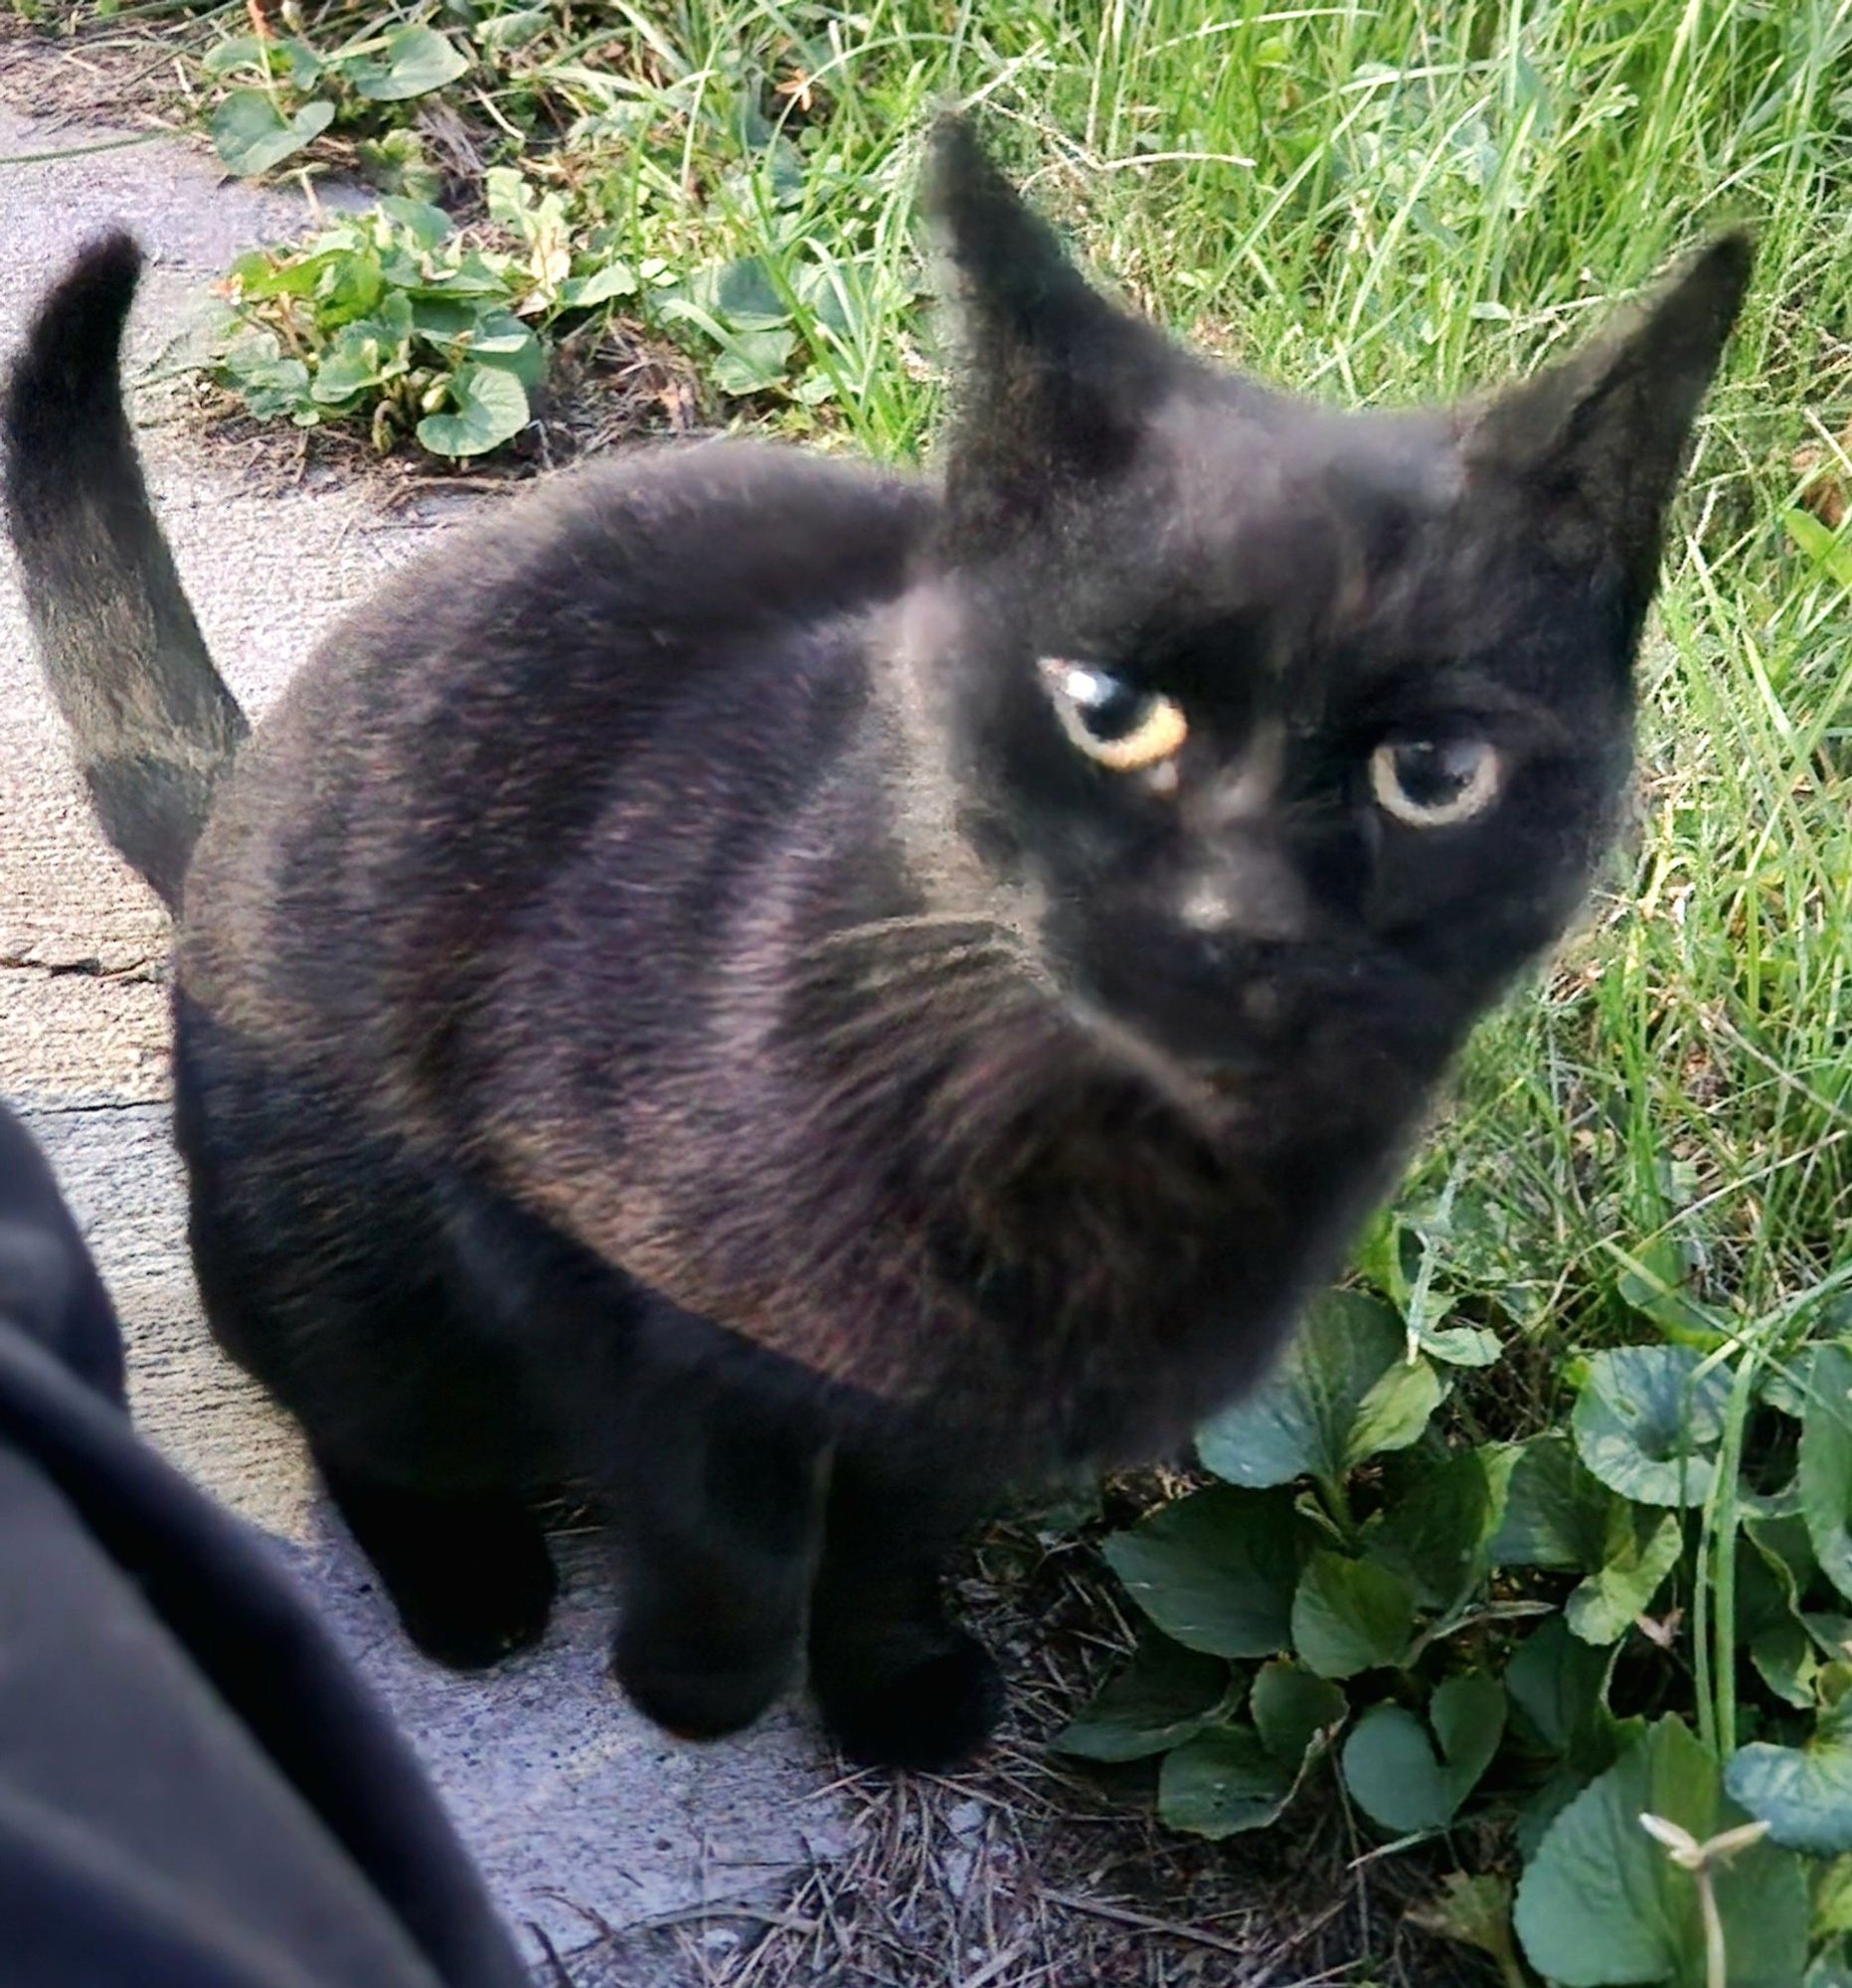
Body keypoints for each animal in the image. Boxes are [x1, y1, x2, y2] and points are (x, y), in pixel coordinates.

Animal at [0, 120, 1741, 1773]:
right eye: (1106, 709)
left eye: (1433, 773)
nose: (1241, 918)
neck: (1096, 1174)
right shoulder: (576, 1263)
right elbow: (733, 1522)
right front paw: (697, 1684)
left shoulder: (959, 1414)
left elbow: (892, 1541)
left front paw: (887, 1683)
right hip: (342, 1251)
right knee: (362, 1412)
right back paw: (470, 1583)